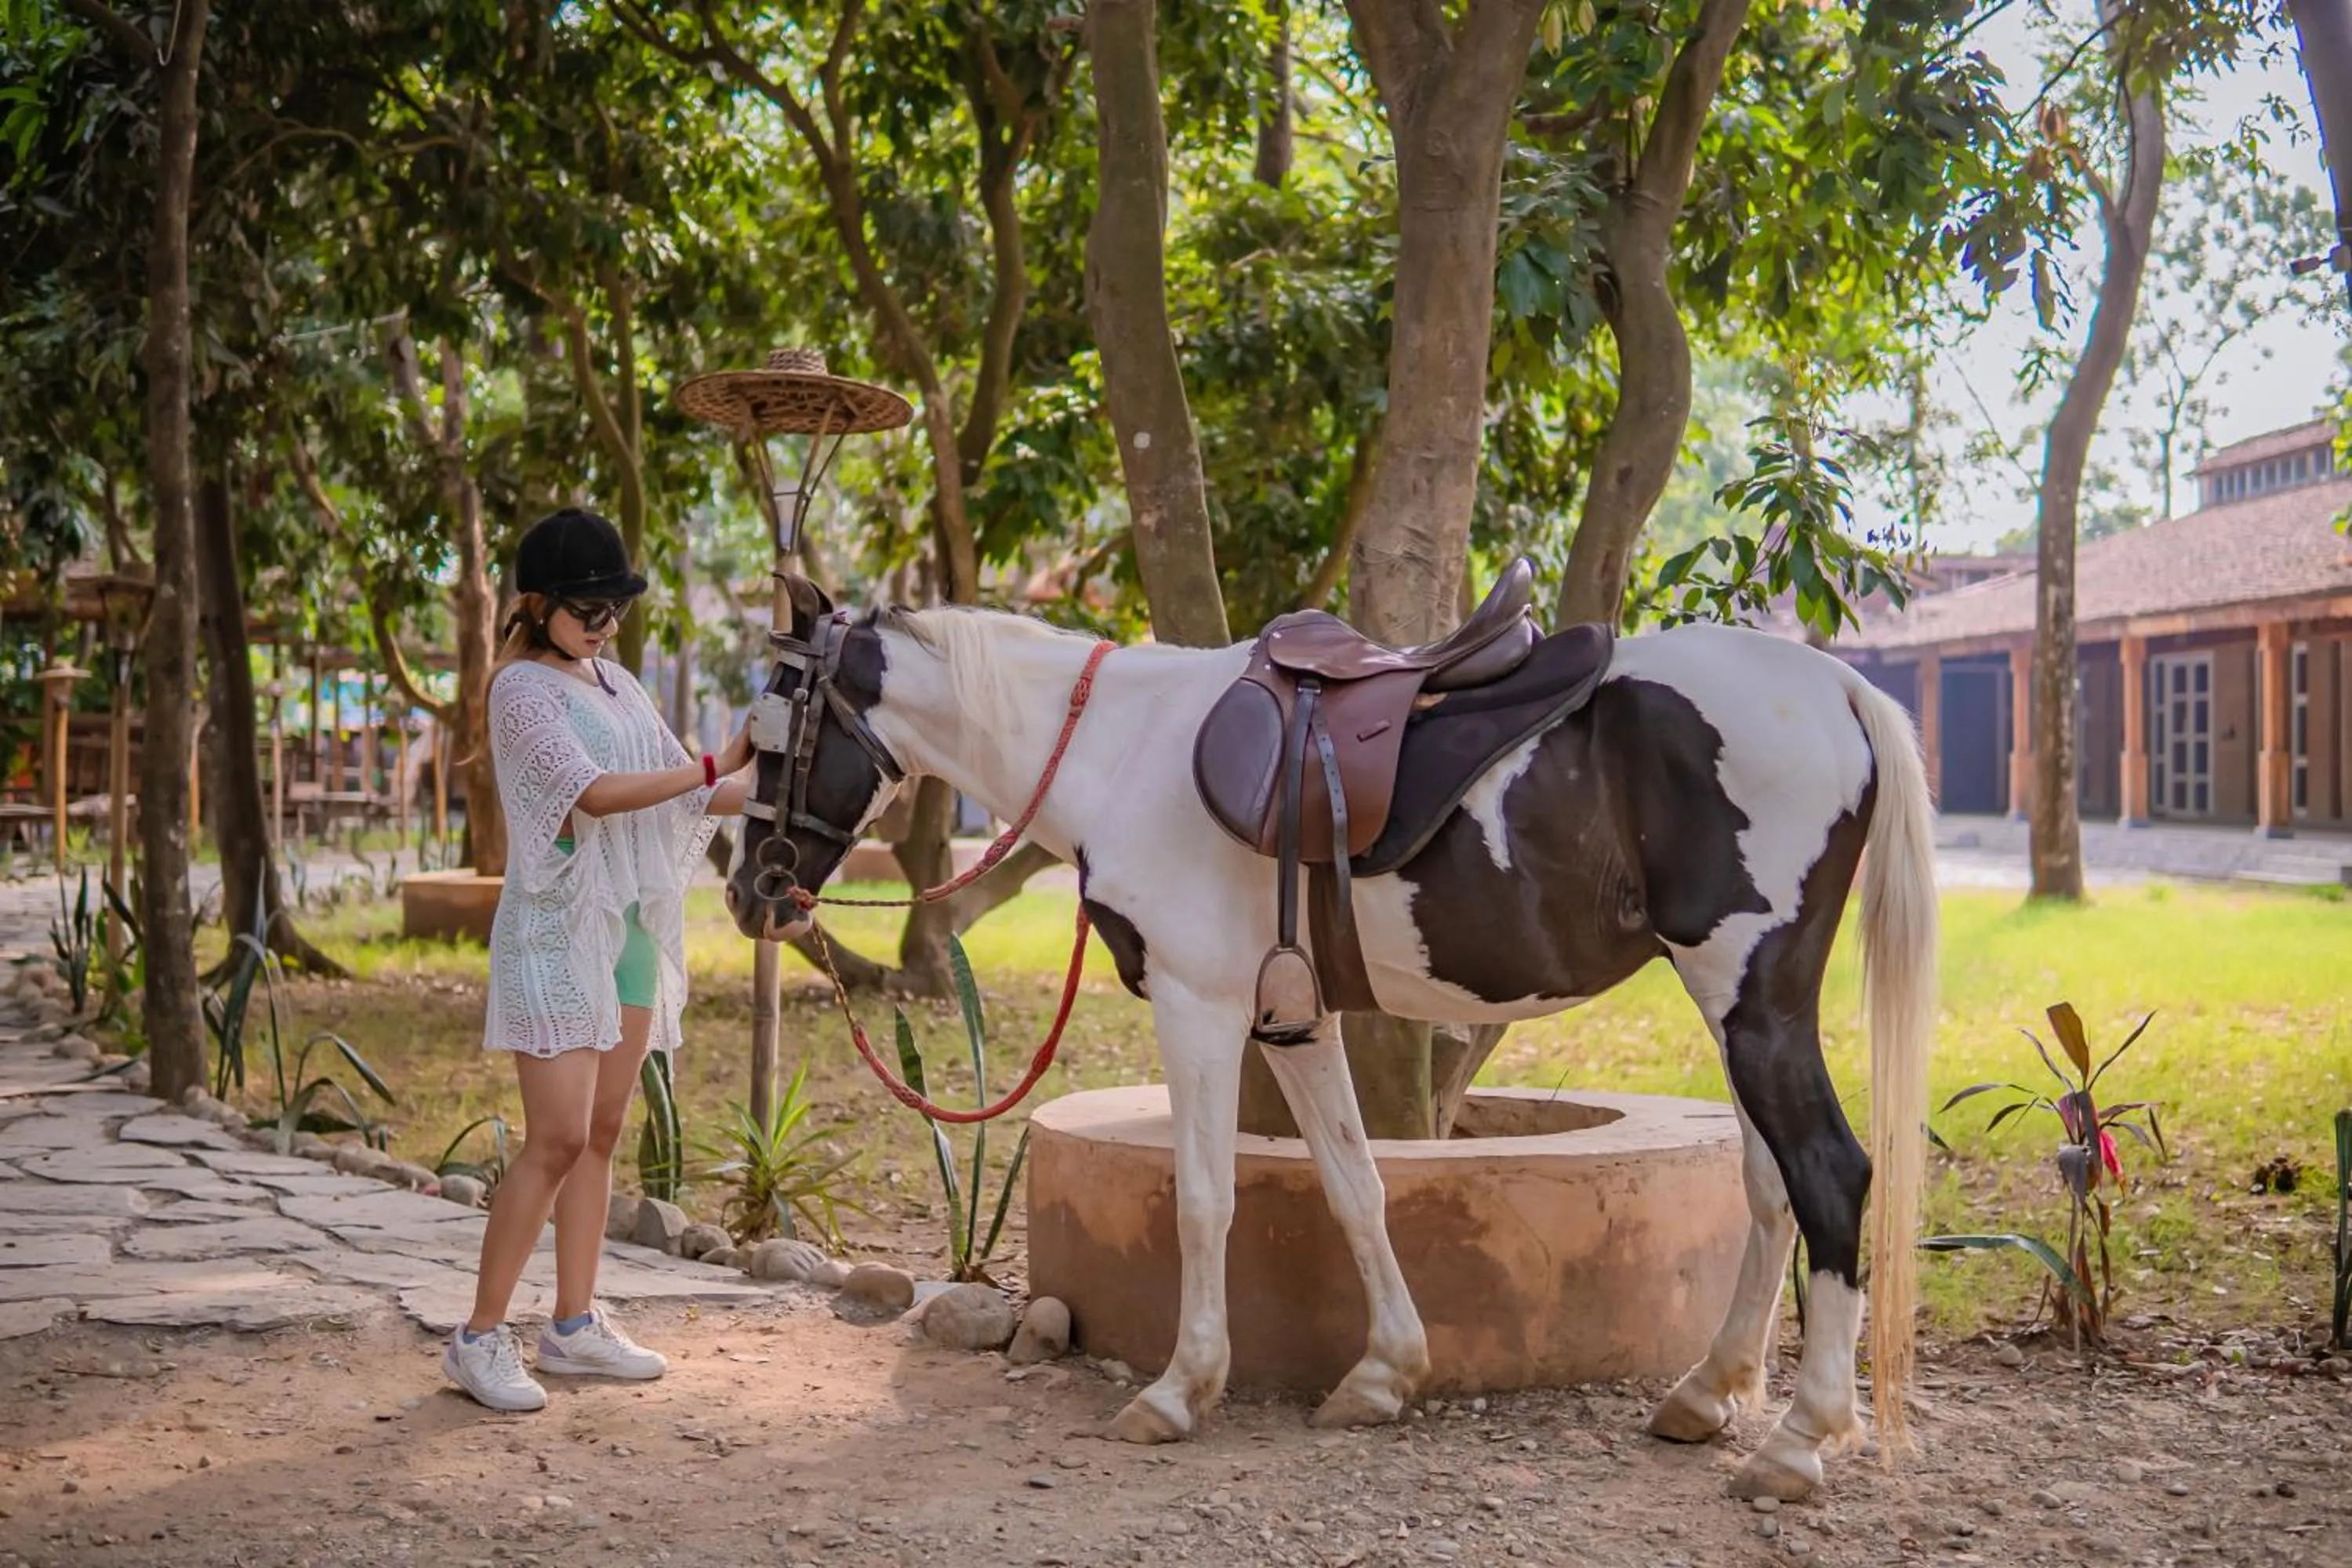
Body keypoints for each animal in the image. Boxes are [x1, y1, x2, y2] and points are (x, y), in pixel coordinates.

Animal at [725, 579, 1937, 1502]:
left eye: (775, 731)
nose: (750, 891)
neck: (1122, 751)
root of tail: (1836, 685)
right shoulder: (1295, 1020)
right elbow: (1356, 1187)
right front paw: (1384, 1374)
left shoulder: (1200, 1005)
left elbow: (1204, 1198)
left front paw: (1179, 1391)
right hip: (1728, 1001)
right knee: (1770, 1188)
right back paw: (1711, 1391)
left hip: (1751, 995)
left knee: (1829, 1174)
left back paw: (1798, 1441)